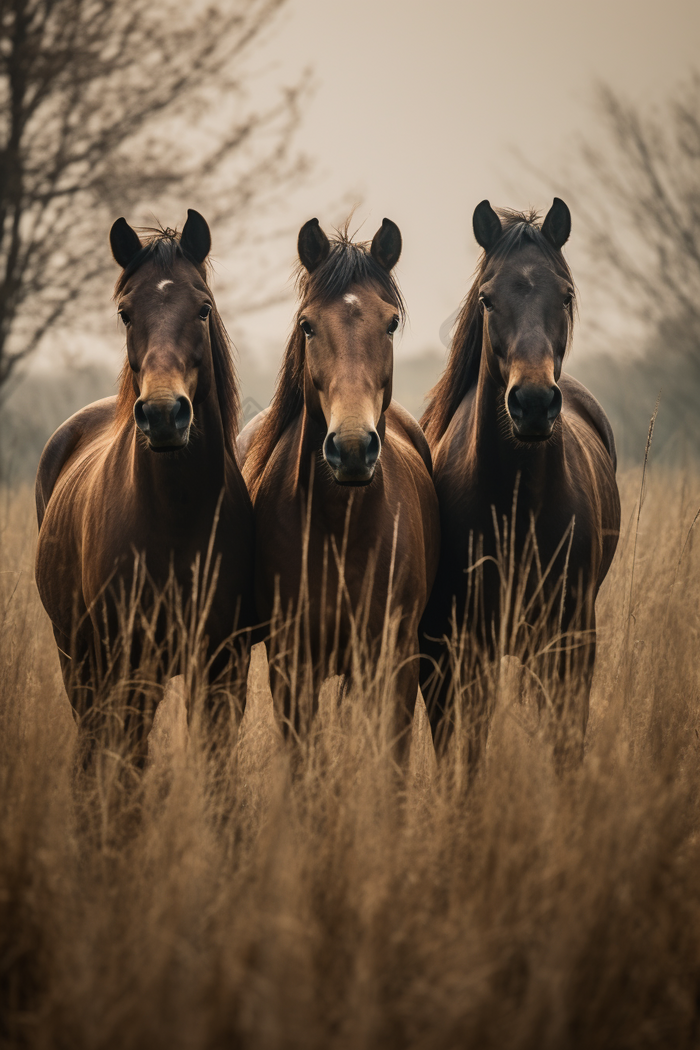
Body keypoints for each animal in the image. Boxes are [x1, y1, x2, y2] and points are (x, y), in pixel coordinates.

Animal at [34, 211, 255, 755]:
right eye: (126, 313)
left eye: (203, 308)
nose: (161, 414)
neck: (177, 519)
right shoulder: (128, 665)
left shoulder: (222, 668)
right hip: (78, 659)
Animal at [241, 217, 438, 751]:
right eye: (307, 325)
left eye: (390, 323)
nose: (351, 448)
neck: (342, 528)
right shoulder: (293, 666)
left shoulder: (394, 662)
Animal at [419, 200, 621, 768]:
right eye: (487, 298)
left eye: (566, 294)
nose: (532, 403)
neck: (518, 506)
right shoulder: (459, 648)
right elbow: (464, 752)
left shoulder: (572, 641)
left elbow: (566, 747)